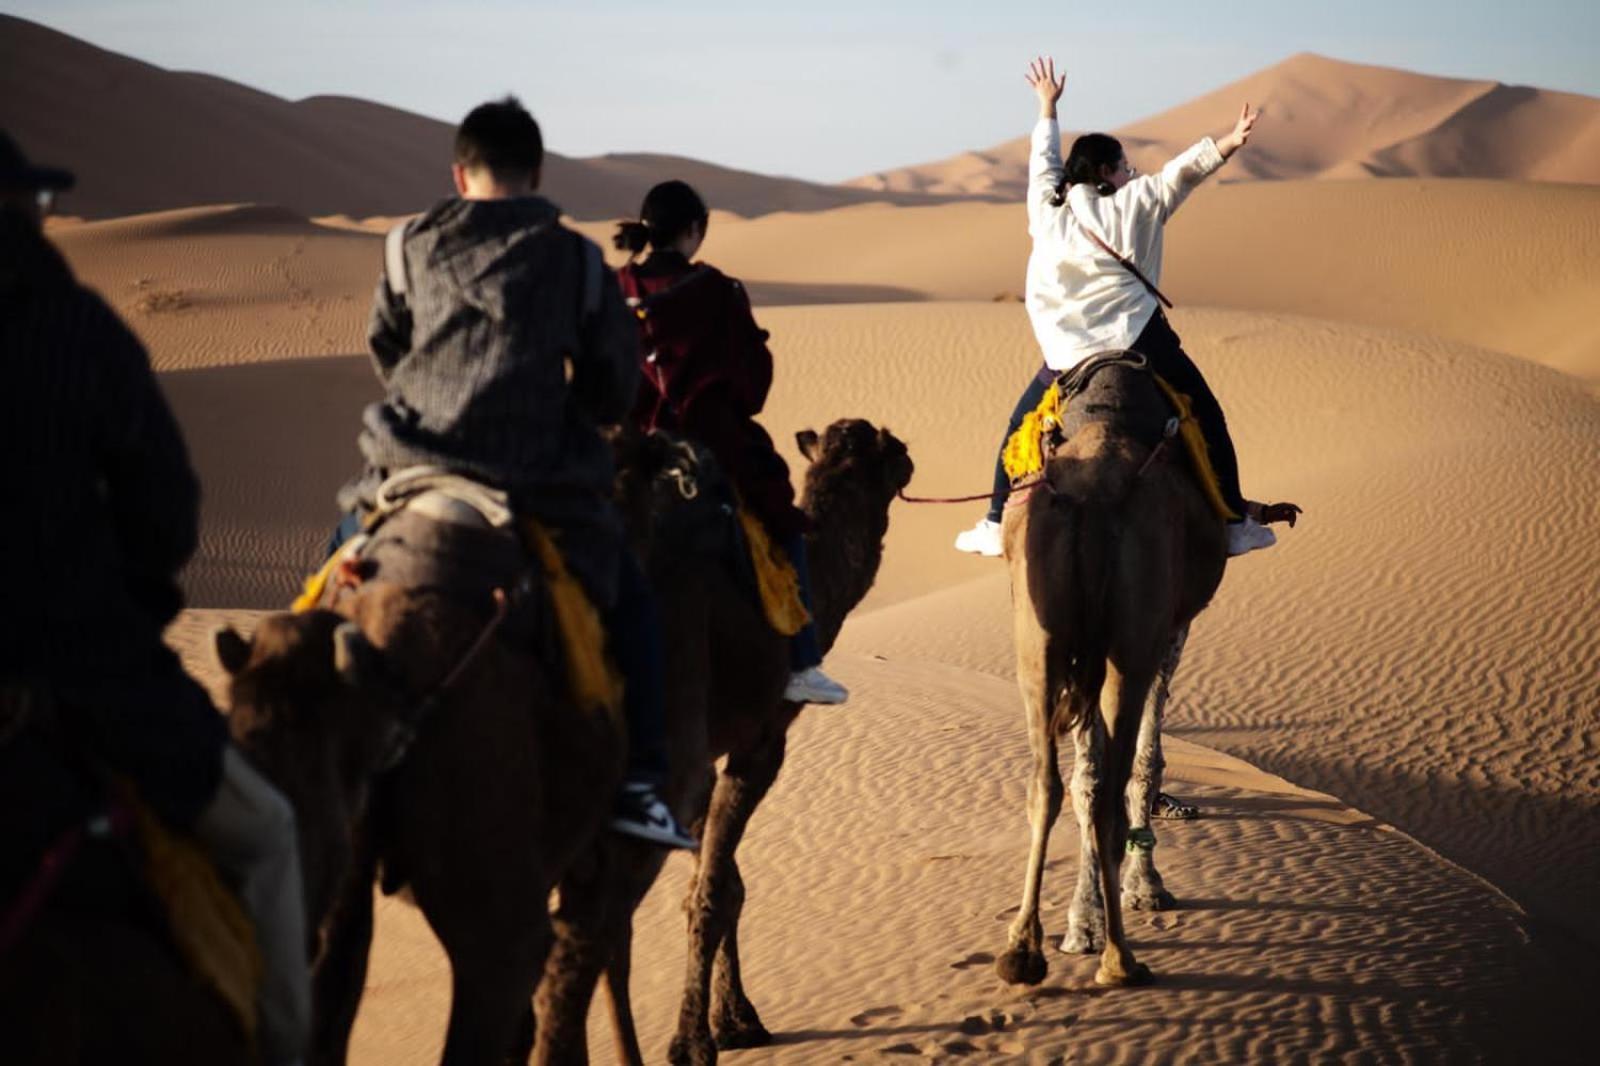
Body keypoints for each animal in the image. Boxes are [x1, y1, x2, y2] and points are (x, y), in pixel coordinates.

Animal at [531, 416, 915, 1062]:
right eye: (889, 450)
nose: (910, 457)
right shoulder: (761, 740)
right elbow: (712, 890)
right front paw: (697, 1039)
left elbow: (722, 881)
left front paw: (736, 1020)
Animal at [992, 358, 1228, 985]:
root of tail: (1094, 490)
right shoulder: (1167, 630)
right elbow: (1145, 761)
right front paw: (1144, 890)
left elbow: (1087, 772)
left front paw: (1085, 919)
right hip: (1132, 636)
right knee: (1107, 786)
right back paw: (1120, 959)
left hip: (1036, 638)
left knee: (1048, 783)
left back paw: (1023, 949)